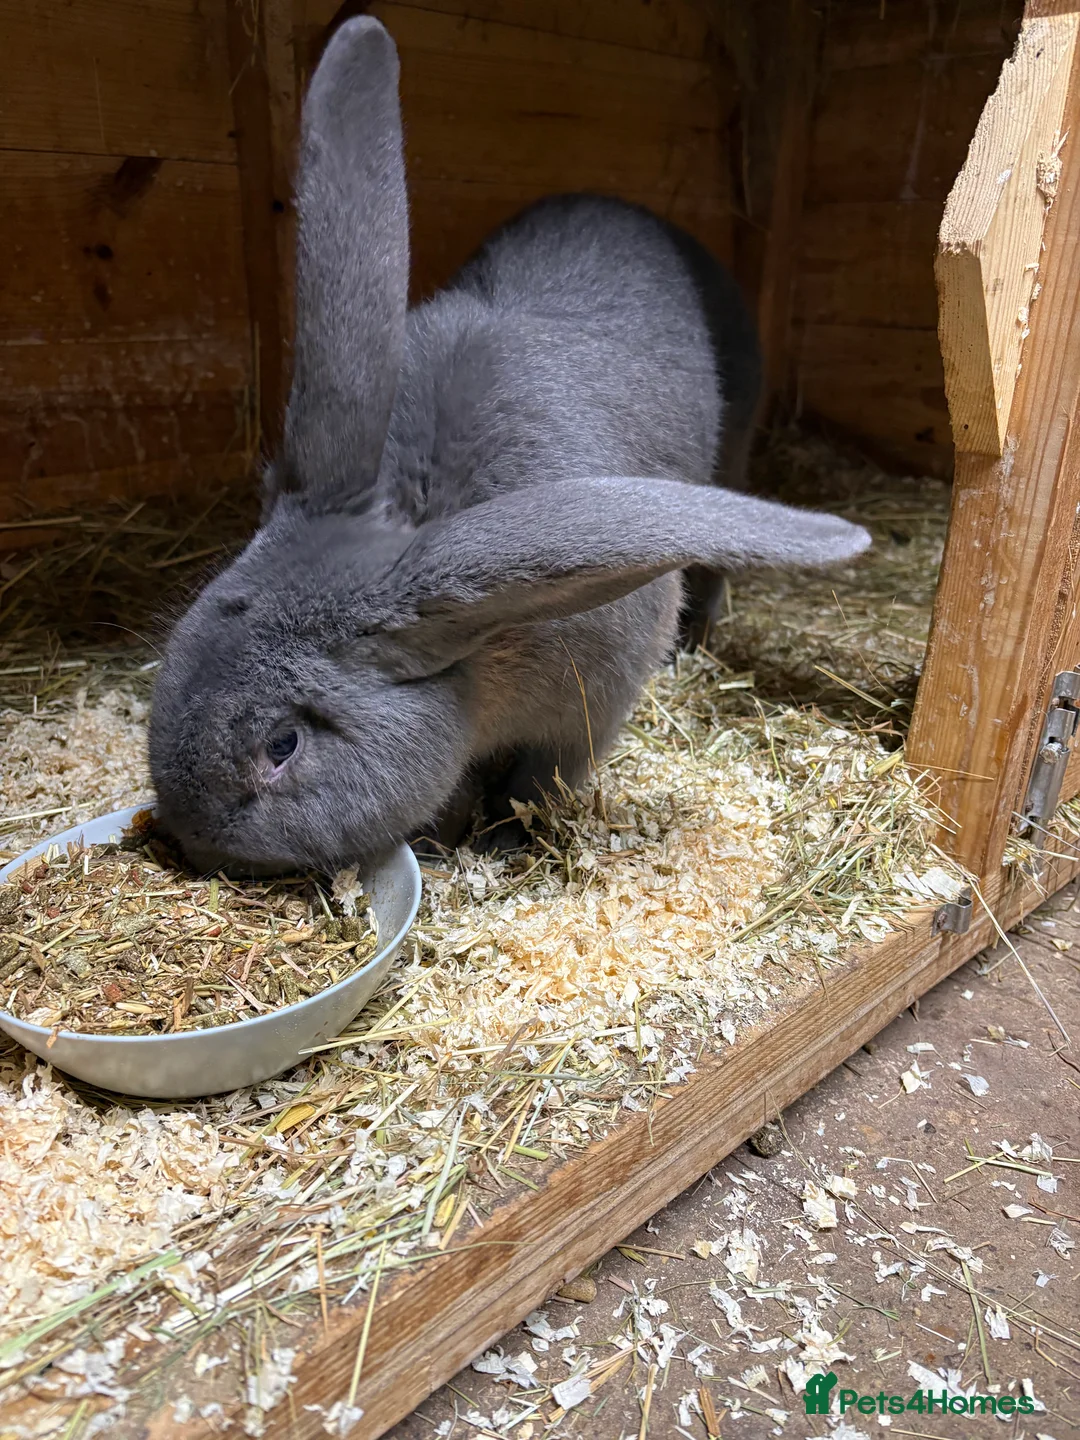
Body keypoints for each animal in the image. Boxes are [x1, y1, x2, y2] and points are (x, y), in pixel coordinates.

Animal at [148, 16, 870, 876]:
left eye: (282, 745)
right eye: (172, 655)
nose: (189, 837)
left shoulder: (586, 711)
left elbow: (539, 779)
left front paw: (498, 836)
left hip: (734, 455)